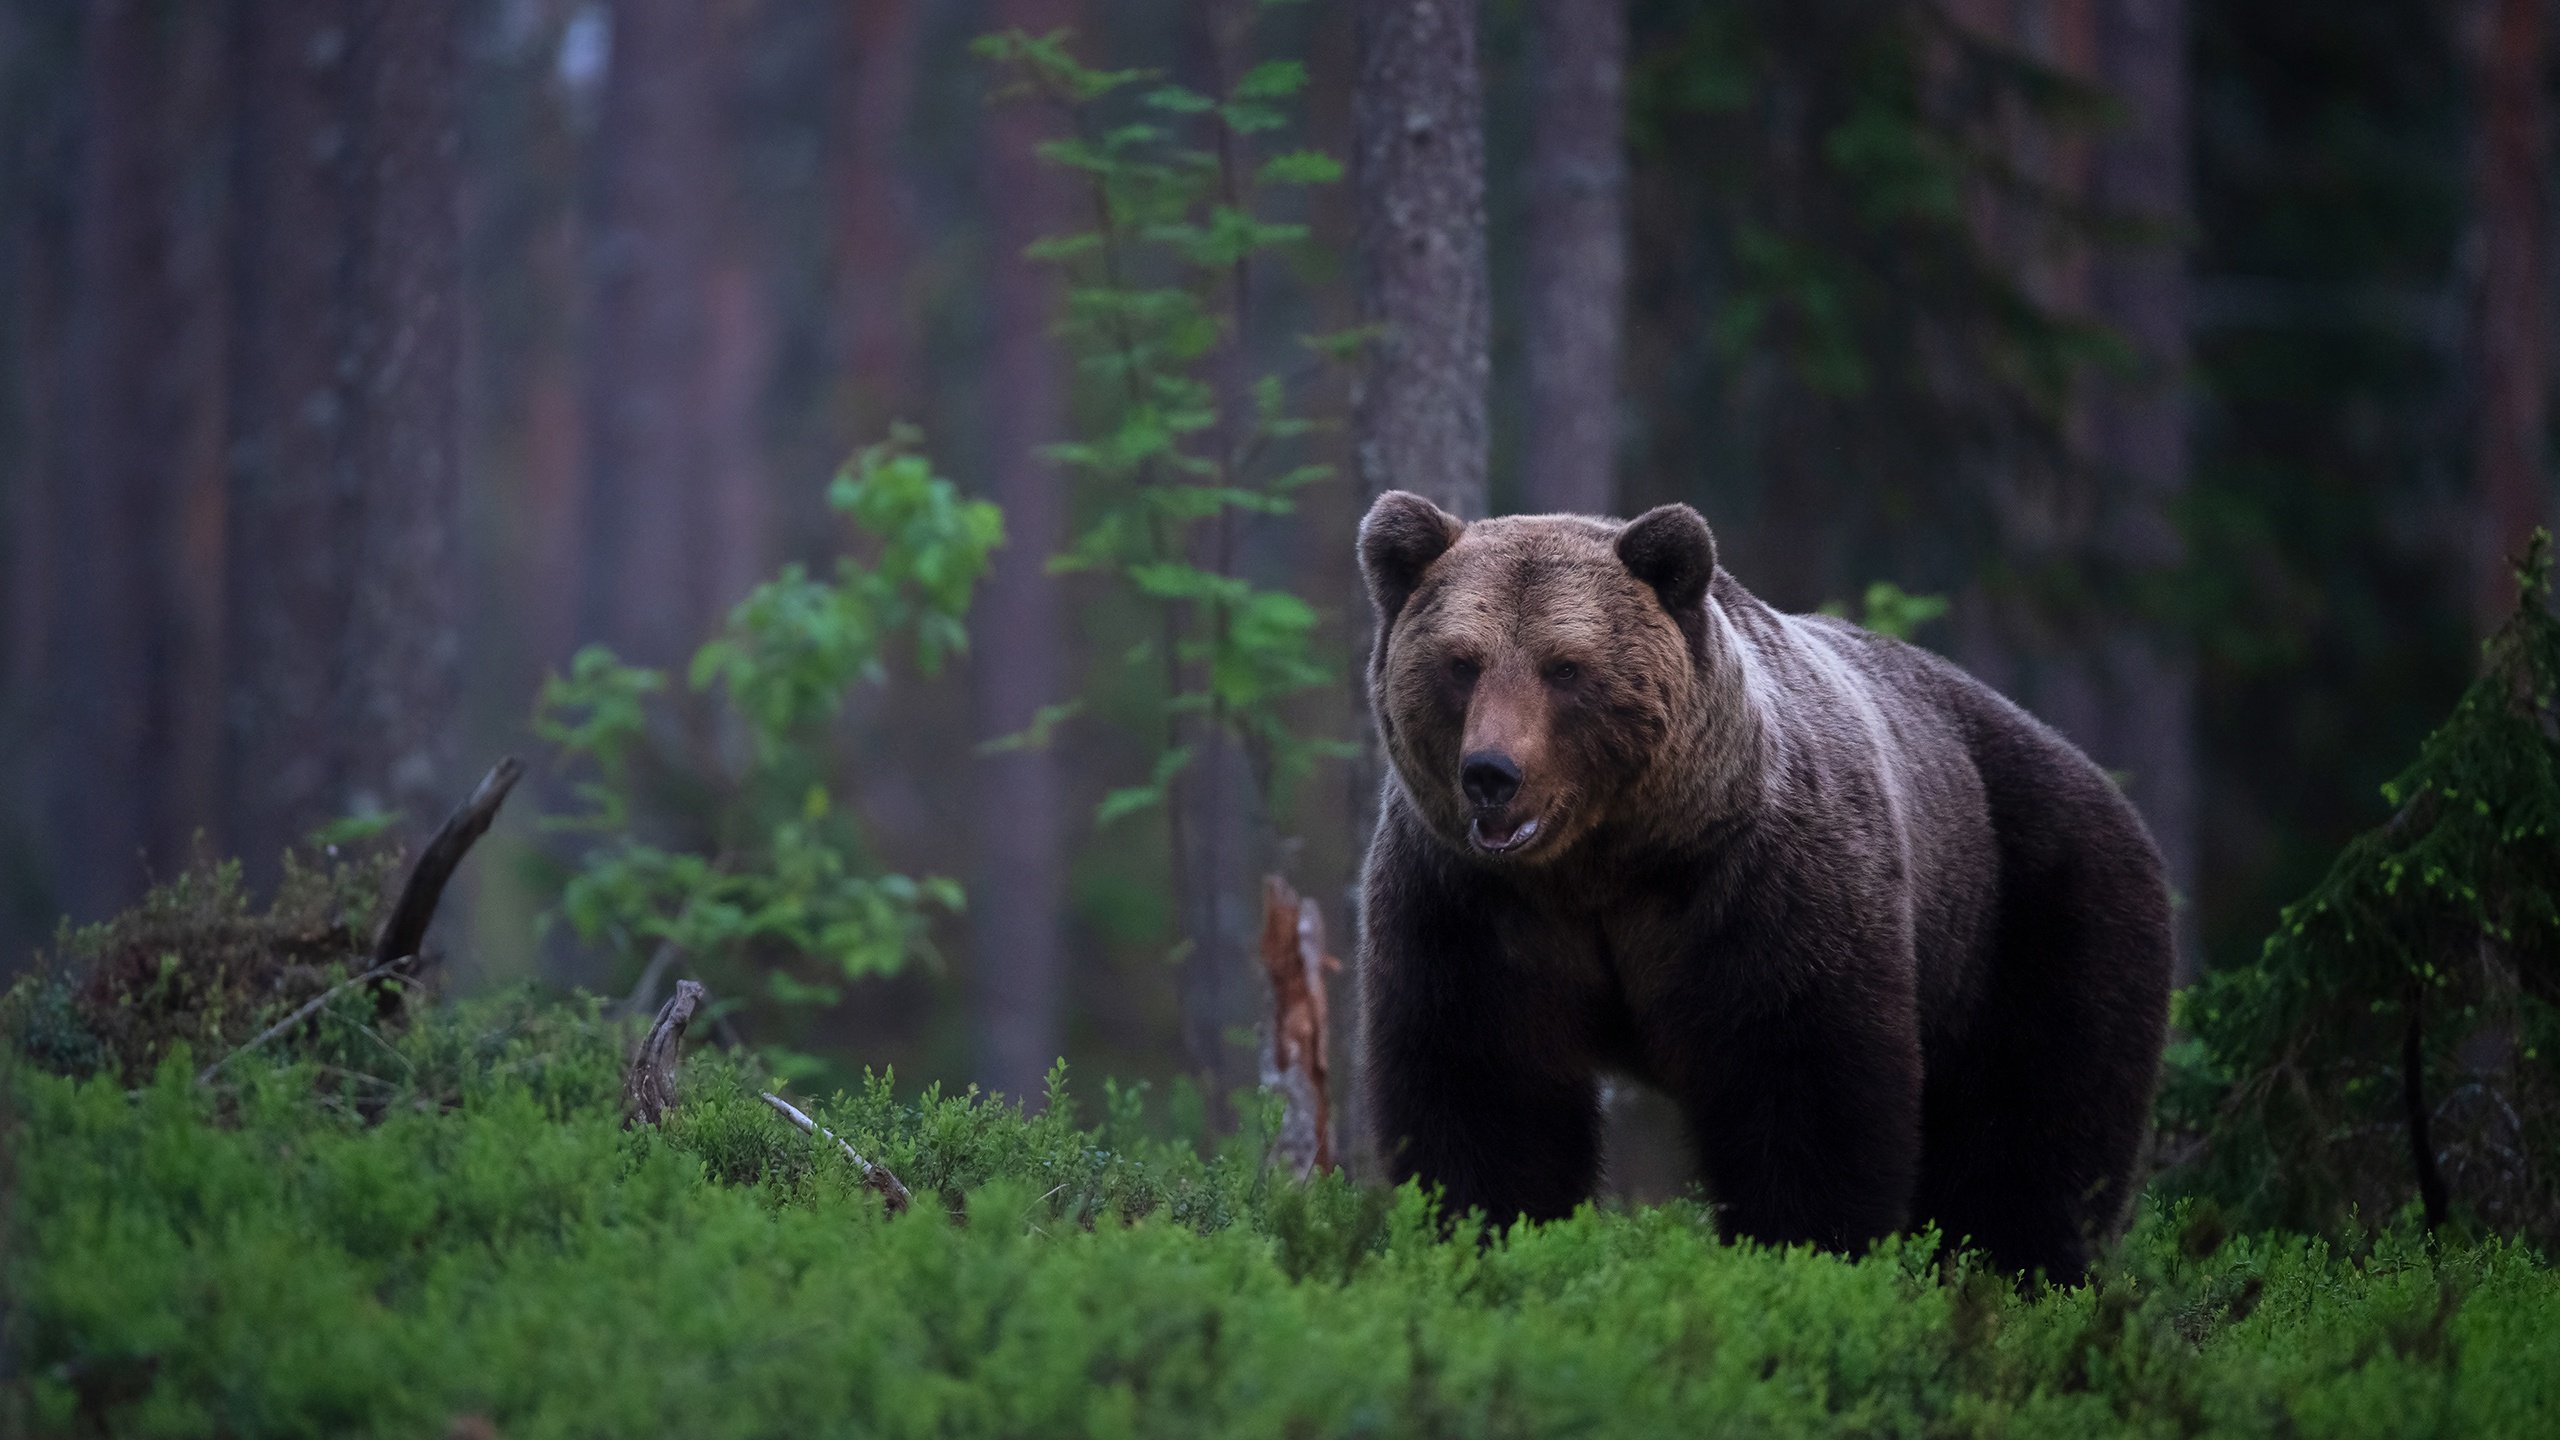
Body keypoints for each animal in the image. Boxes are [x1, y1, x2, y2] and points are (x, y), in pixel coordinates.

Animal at [1351, 491, 2170, 1276]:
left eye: (1566, 668)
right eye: (1462, 662)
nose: (1492, 774)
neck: (1605, 865)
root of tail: (2095, 774)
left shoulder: (1765, 890)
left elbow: (1806, 1088)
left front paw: (1803, 1254)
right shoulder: (1471, 906)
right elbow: (1484, 1090)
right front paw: (1486, 1234)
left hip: (2036, 908)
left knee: (2040, 1129)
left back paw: (2026, 1271)